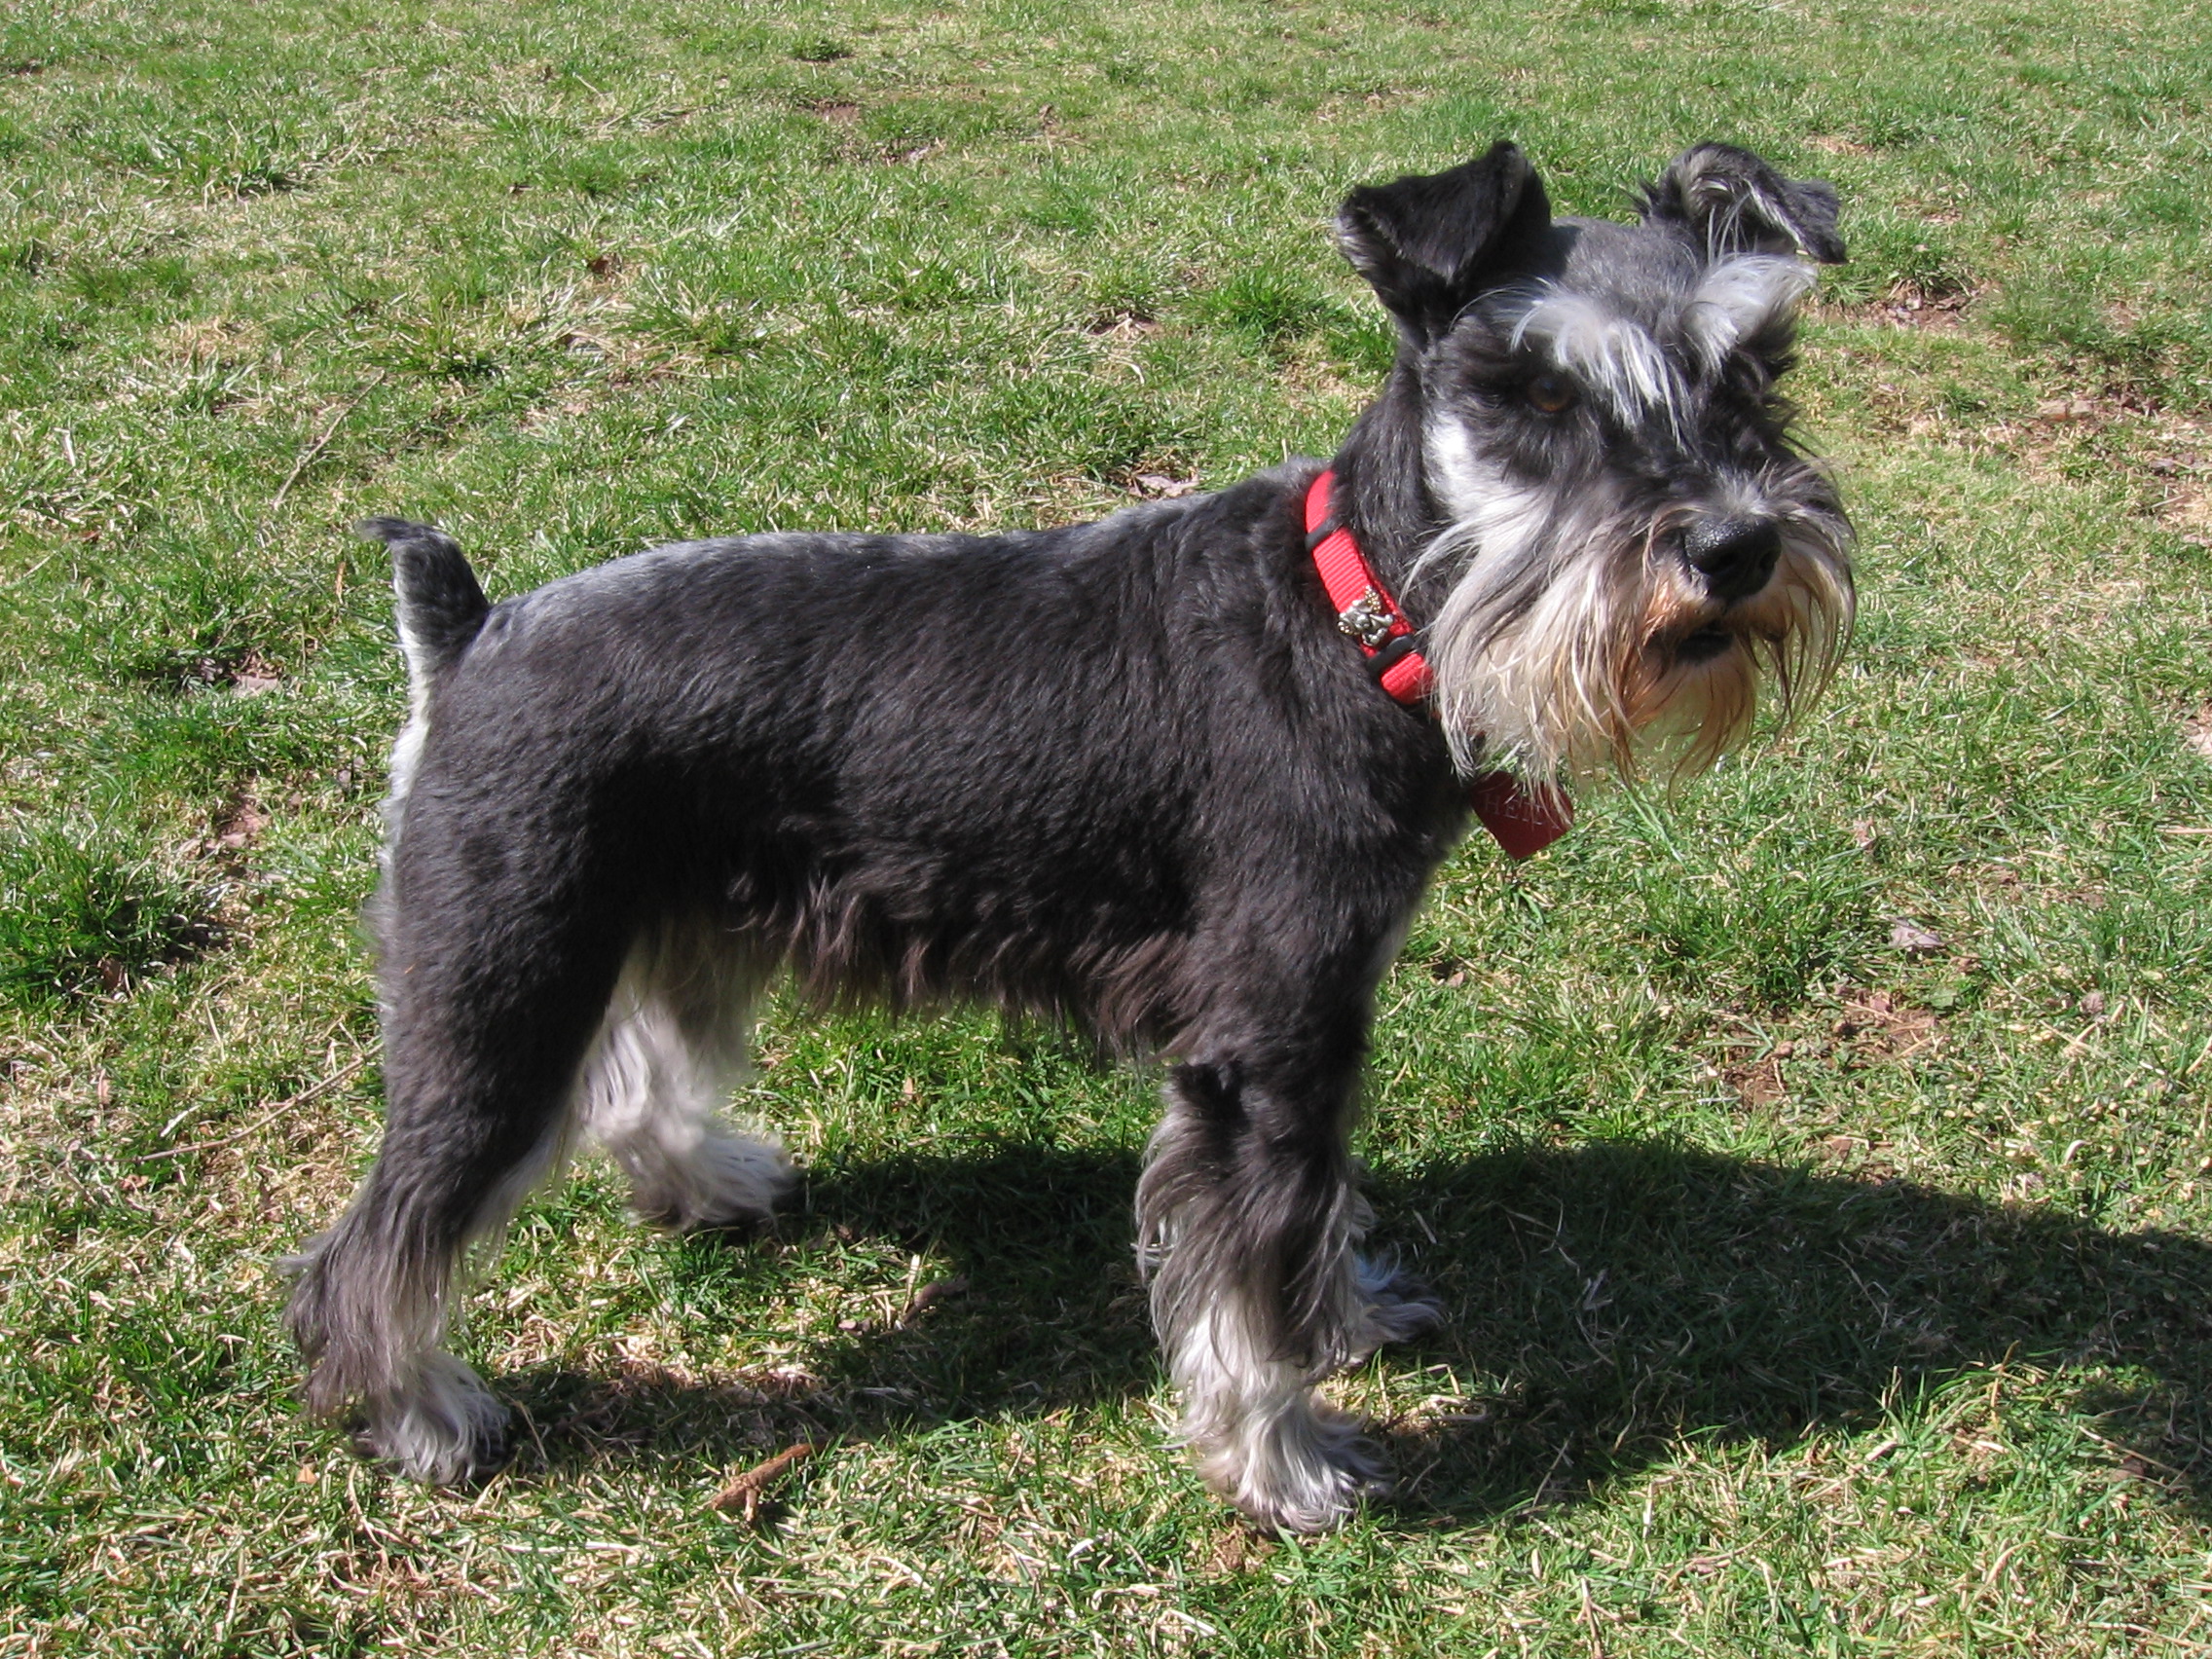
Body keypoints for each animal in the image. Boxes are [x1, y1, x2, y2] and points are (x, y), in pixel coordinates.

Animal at [285, 139, 1858, 1530]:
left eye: (1755, 369)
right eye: (1533, 389)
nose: (1732, 547)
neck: (1352, 617)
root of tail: (470, 633)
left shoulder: (1321, 1029)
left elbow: (1311, 1209)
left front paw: (1345, 1310)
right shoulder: (1263, 1043)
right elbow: (1246, 1275)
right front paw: (1284, 1464)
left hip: (670, 928)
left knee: (630, 1087)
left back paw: (709, 1184)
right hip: (501, 994)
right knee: (371, 1249)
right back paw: (423, 1414)